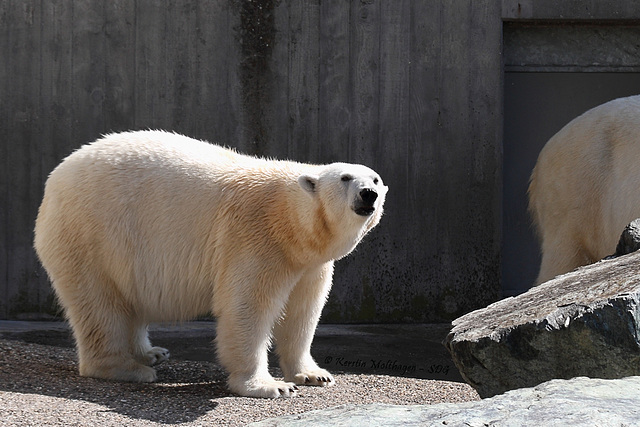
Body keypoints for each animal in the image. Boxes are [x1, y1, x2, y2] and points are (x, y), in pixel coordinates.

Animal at [32, 130, 388, 398]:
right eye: (345, 178)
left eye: (374, 178)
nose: (368, 194)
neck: (288, 220)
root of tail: (53, 181)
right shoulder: (254, 237)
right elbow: (247, 307)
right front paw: (269, 386)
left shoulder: (309, 263)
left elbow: (303, 312)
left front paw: (314, 375)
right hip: (90, 234)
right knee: (99, 305)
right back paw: (128, 368)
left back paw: (151, 353)